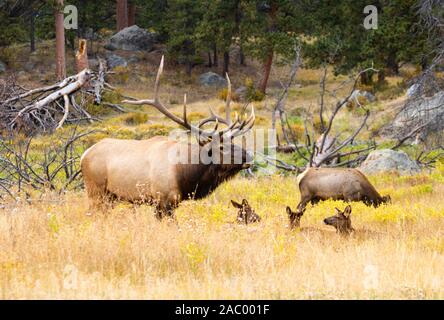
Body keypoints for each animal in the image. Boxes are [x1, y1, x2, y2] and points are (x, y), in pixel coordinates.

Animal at [80, 56, 255, 219]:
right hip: (96, 190)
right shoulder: (163, 200)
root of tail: (84, 155)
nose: (249, 156)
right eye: (222, 147)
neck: (185, 175)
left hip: (110, 196)